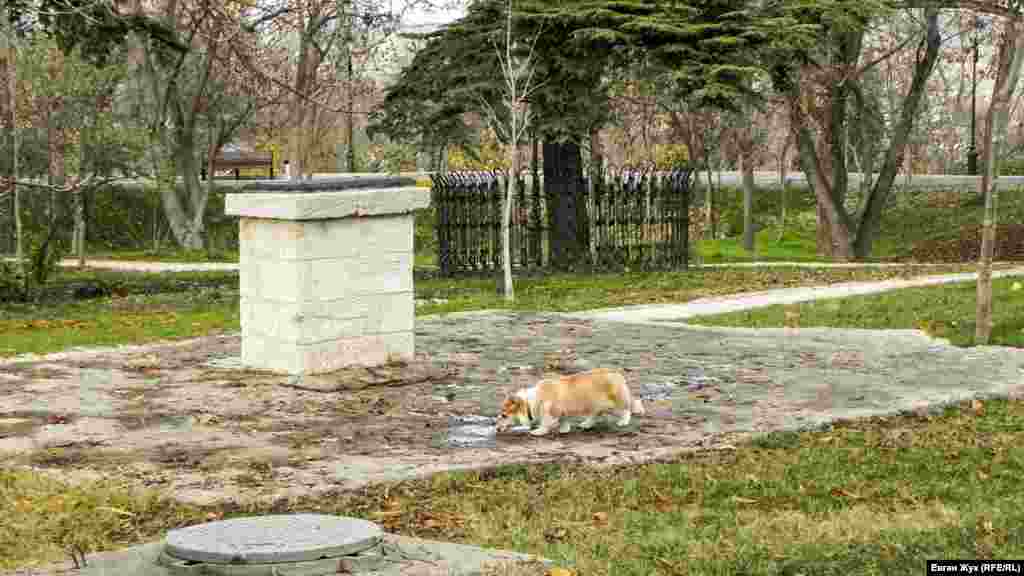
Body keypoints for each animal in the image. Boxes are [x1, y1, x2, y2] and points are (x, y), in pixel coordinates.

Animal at [493, 366, 643, 434]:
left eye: (504, 415)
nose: (497, 429)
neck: (530, 402)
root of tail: (617, 374)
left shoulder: (551, 412)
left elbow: (545, 423)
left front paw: (538, 432)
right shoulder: (562, 413)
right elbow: (564, 421)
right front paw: (564, 430)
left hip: (617, 402)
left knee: (627, 409)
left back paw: (623, 422)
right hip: (596, 406)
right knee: (595, 415)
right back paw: (586, 424)